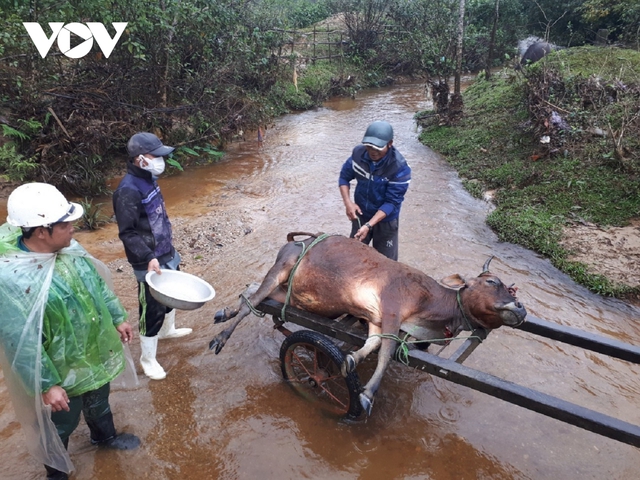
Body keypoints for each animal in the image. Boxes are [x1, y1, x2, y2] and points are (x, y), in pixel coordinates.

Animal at [210, 232, 524, 412]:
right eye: (492, 282)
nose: (520, 307)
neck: (430, 306)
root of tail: (296, 240)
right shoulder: (393, 310)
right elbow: (386, 353)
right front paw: (366, 395)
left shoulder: (376, 319)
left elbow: (372, 344)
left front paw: (351, 359)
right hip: (282, 268)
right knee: (253, 302)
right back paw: (221, 337)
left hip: (290, 292)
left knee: (251, 294)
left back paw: (224, 312)